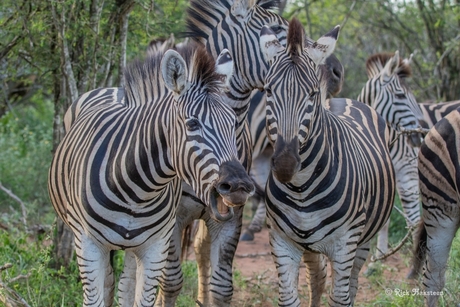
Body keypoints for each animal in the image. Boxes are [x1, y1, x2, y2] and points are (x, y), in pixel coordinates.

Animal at [47, 44, 255, 307]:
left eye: (233, 124)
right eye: (192, 124)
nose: (238, 186)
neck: (136, 191)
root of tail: (114, 90)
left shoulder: (155, 247)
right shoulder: (88, 244)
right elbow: (95, 298)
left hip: (133, 245)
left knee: (125, 285)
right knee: (109, 283)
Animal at [258, 19, 396, 307]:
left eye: (312, 94)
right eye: (267, 91)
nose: (285, 164)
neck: (301, 190)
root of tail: (344, 100)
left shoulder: (345, 243)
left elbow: (341, 297)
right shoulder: (281, 241)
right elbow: (290, 297)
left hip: (363, 240)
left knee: (351, 285)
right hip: (309, 243)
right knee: (317, 277)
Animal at [356, 51, 428, 256]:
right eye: (400, 95)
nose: (422, 134)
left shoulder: (408, 175)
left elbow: (414, 222)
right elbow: (383, 219)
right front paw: (380, 255)